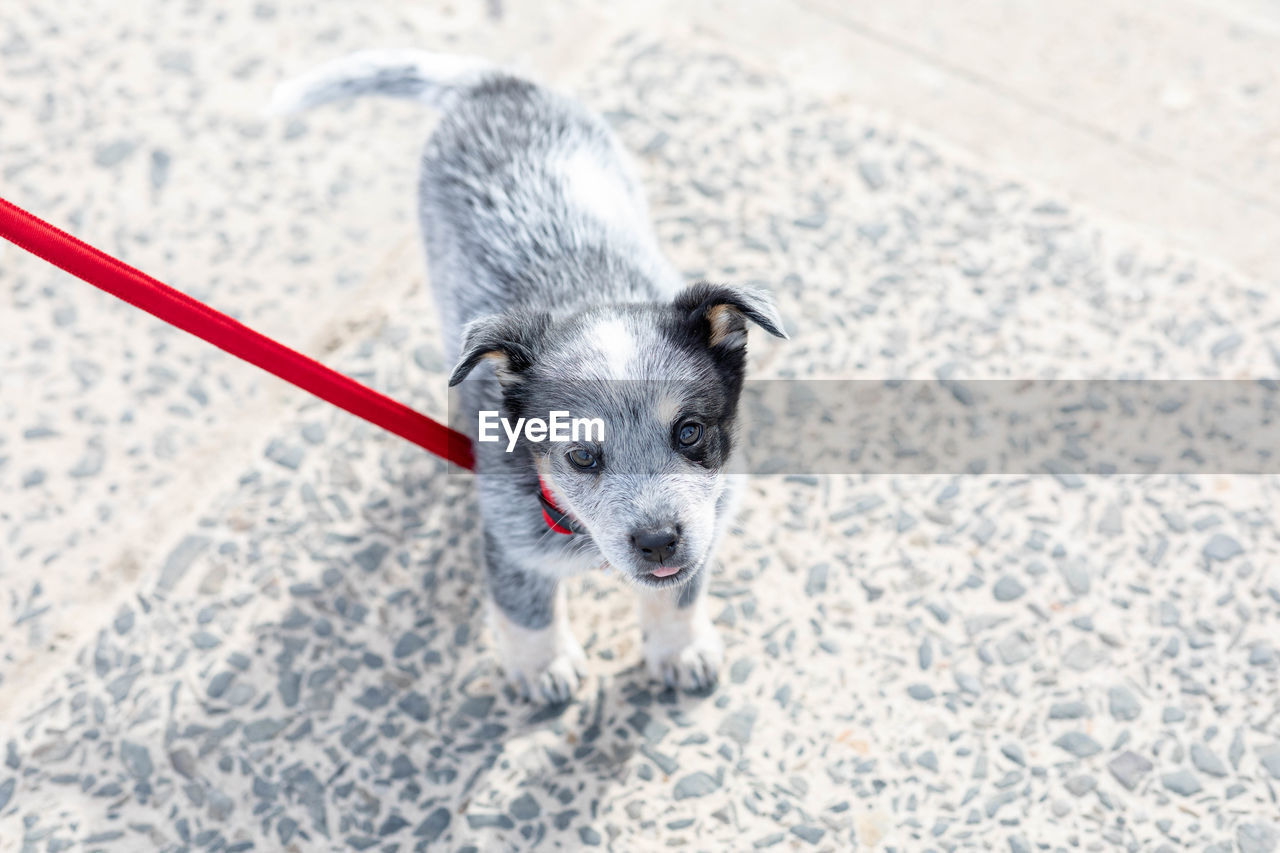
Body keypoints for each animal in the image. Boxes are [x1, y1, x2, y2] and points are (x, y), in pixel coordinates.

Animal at [275, 51, 783, 696]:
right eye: (581, 456)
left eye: (690, 431)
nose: (657, 542)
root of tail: (493, 85)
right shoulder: (508, 533)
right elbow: (524, 607)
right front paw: (544, 666)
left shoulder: (708, 520)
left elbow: (679, 594)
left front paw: (680, 647)